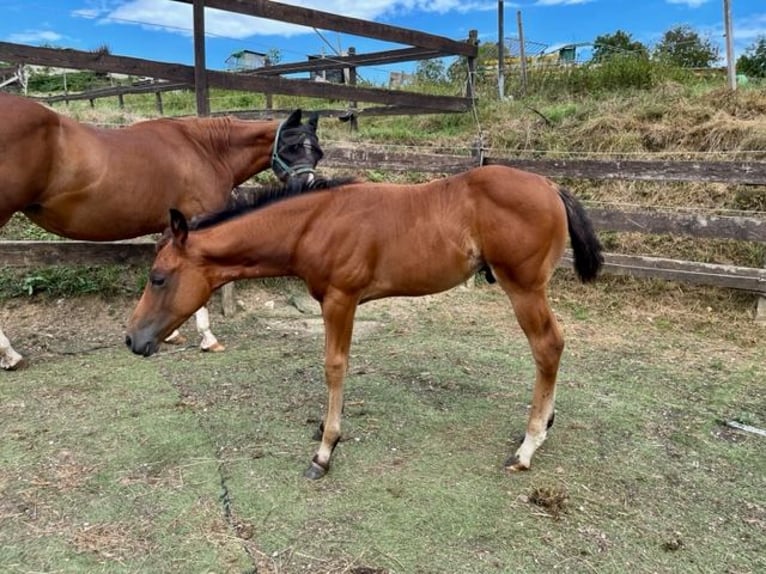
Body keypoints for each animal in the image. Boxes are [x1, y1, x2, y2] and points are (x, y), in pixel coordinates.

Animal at [0, 93, 324, 374]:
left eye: (318, 153)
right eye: (291, 147)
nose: (308, 186)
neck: (206, 149)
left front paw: (172, 333)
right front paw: (208, 338)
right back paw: (10, 355)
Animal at [126, 164, 608, 480]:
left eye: (158, 277)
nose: (133, 339)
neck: (313, 224)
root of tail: (550, 185)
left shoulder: (340, 299)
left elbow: (334, 365)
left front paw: (324, 451)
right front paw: (325, 429)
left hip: (523, 287)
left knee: (548, 345)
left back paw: (527, 447)